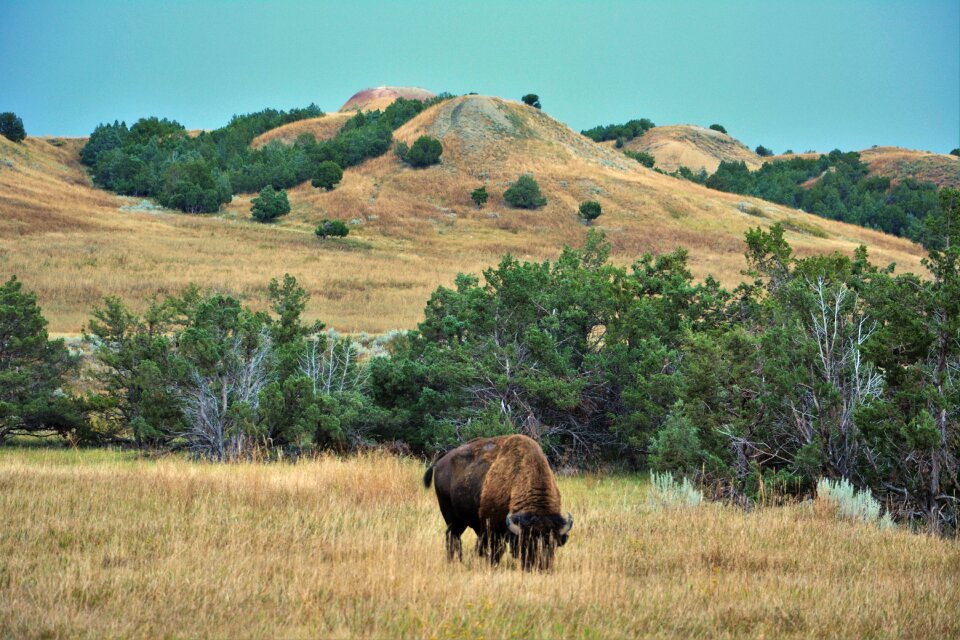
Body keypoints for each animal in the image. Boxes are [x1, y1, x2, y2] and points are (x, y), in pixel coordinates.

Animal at [420, 436, 568, 568]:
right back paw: (454, 562)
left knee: (454, 537)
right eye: (526, 542)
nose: (540, 566)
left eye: (554, 544)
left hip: (461, 521)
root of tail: (442, 459)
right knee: (452, 537)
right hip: (451, 515)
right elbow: (493, 549)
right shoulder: (492, 528)